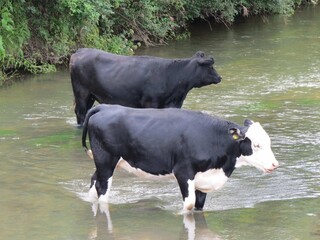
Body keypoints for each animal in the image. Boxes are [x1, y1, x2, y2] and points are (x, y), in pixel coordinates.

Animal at [69, 47, 221, 124]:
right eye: (210, 67)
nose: (219, 77)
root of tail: (80, 51)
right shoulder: (150, 102)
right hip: (81, 92)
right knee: (80, 112)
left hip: (90, 95)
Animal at [82, 104, 278, 211]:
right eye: (256, 145)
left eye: (269, 142)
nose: (275, 164)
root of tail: (105, 107)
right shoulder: (183, 171)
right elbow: (189, 205)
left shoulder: (202, 179)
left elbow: (198, 205)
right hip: (106, 159)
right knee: (102, 187)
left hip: (104, 162)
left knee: (94, 180)